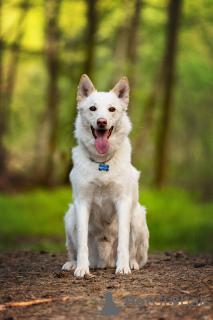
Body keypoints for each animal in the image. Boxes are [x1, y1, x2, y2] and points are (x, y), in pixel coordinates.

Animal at [61, 74, 149, 276]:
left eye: (112, 109)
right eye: (92, 108)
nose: (101, 121)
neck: (102, 162)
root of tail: (104, 262)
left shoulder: (123, 202)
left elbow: (124, 241)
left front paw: (123, 267)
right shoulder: (82, 203)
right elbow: (82, 243)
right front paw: (82, 269)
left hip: (138, 217)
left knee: (137, 254)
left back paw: (131, 263)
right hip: (70, 216)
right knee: (75, 250)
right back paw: (73, 264)